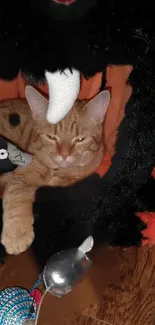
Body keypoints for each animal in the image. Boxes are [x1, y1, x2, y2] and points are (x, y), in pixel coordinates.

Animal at [0, 86, 110, 256]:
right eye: (51, 137)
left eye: (80, 139)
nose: (64, 155)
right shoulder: (23, 173)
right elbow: (17, 196)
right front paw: (17, 233)